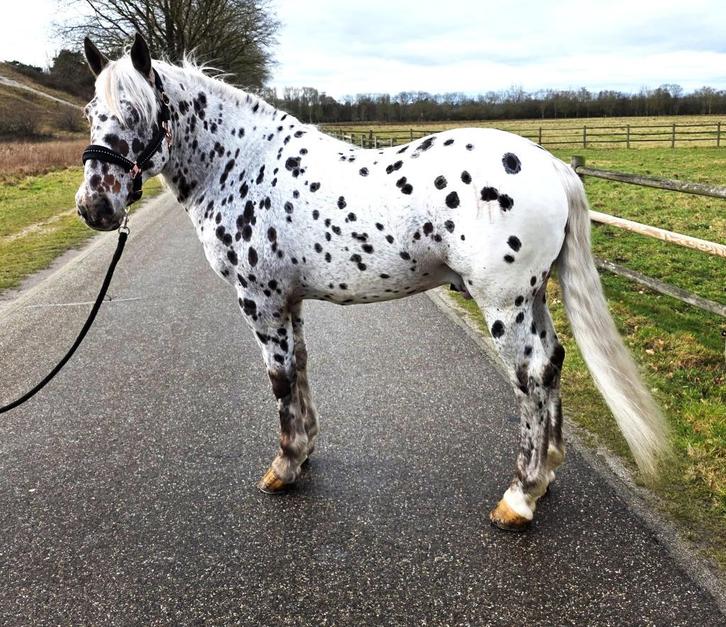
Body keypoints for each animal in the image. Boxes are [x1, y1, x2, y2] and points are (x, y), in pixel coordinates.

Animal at [76, 34, 669, 530]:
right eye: (91, 113)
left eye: (135, 112)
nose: (94, 206)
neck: (241, 165)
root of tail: (551, 165)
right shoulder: (288, 300)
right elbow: (301, 367)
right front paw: (305, 452)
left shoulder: (259, 300)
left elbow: (279, 379)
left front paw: (283, 469)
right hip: (532, 298)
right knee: (552, 363)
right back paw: (545, 476)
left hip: (505, 303)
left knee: (532, 377)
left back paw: (519, 498)